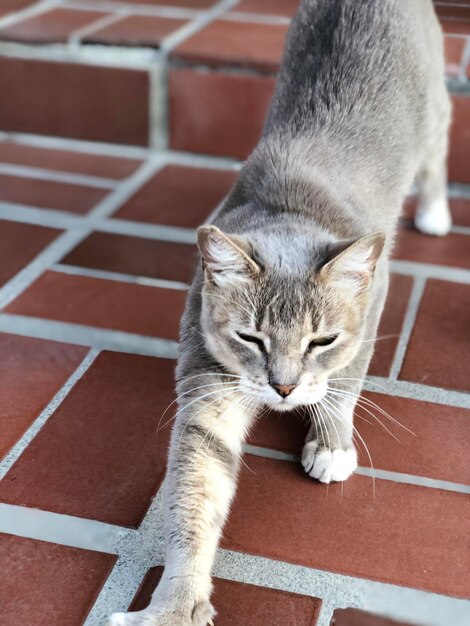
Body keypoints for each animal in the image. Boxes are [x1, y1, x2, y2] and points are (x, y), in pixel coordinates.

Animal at [109, 1, 452, 624]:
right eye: (252, 339)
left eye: (321, 341)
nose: (285, 389)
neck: (292, 201)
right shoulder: (208, 392)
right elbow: (196, 492)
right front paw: (176, 603)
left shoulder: (373, 307)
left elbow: (344, 383)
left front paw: (332, 443)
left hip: (435, 113)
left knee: (437, 157)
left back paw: (436, 212)